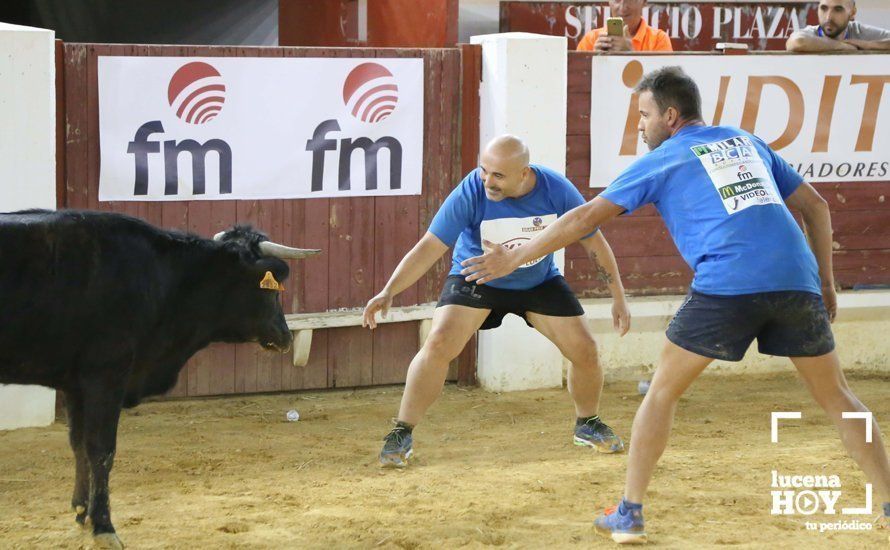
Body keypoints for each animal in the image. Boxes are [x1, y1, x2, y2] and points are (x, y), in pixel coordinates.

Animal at [0, 209, 320, 548]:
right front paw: (103, 526)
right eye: (270, 290)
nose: (285, 337)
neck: (164, 280)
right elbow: (101, 449)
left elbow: (79, 444)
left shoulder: (75, 384)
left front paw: (81, 510)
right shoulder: (106, 376)